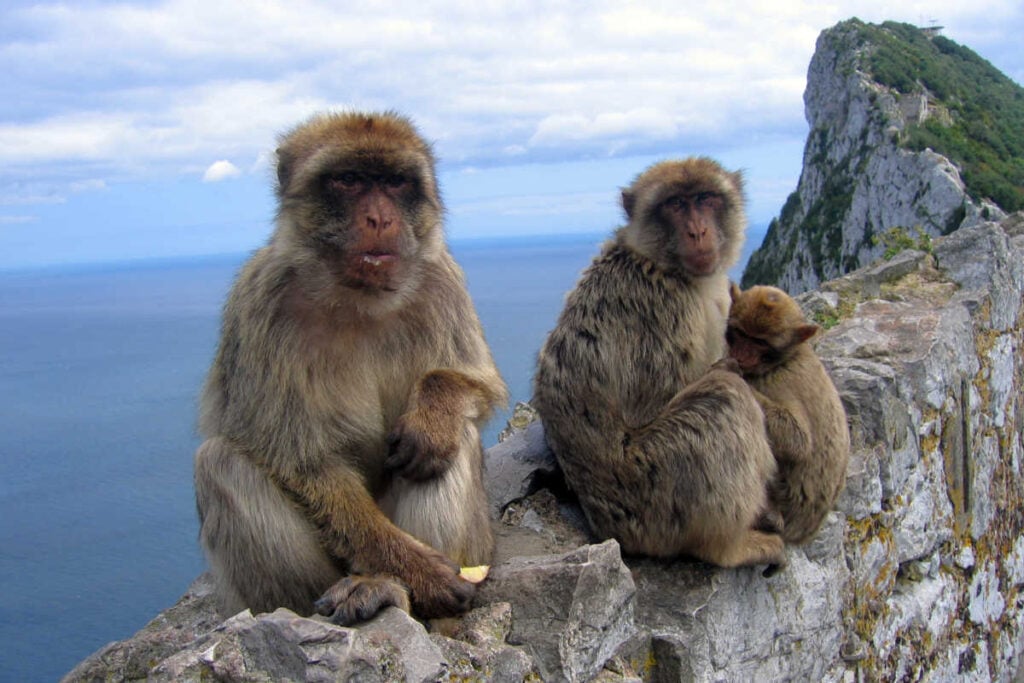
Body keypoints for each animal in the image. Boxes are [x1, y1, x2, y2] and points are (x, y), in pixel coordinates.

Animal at [192, 111, 507, 626]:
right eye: (349, 180)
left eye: (395, 182)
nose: (380, 218)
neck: (360, 301)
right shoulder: (261, 304)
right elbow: (304, 461)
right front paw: (421, 572)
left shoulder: (442, 283)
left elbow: (475, 383)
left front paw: (434, 412)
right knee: (220, 463)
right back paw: (374, 587)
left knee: (449, 444)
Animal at [532, 158, 785, 569]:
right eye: (675, 205)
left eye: (706, 198)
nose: (698, 230)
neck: (661, 264)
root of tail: (608, 527)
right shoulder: (664, 309)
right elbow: (653, 407)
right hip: (654, 494)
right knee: (726, 396)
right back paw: (729, 548)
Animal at [725, 283, 850, 544]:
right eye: (741, 333)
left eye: (760, 342)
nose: (741, 353)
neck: (784, 360)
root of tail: (804, 532)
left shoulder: (779, 381)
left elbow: (798, 442)